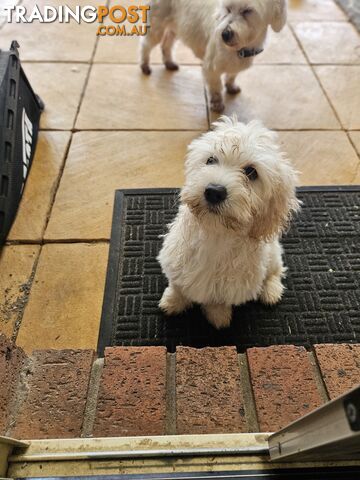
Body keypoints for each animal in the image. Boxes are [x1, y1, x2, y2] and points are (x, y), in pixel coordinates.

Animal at [140, 0, 286, 111]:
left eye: (247, 11)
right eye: (228, 9)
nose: (225, 34)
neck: (239, 49)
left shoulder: (236, 66)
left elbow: (232, 75)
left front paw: (231, 86)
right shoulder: (211, 68)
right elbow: (216, 86)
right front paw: (216, 104)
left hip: (175, 28)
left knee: (166, 44)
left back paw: (169, 62)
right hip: (157, 26)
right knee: (146, 44)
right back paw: (145, 65)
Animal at [157, 117, 298, 330]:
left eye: (251, 172)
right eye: (210, 160)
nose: (214, 191)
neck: (216, 233)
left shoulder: (230, 287)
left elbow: (218, 300)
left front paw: (218, 317)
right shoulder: (175, 260)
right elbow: (178, 285)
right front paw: (172, 302)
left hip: (272, 254)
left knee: (275, 270)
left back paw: (271, 292)